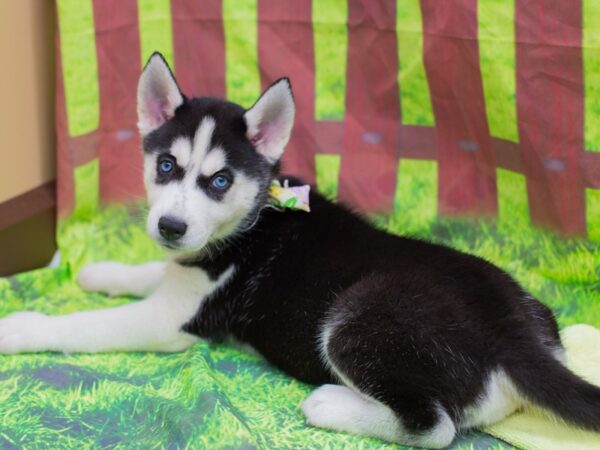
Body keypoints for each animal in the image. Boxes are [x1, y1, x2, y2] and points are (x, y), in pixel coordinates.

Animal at [1, 51, 600, 446]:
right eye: (166, 166)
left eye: (220, 181)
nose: (170, 226)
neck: (250, 218)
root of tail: (513, 335)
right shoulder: (185, 273)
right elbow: (150, 270)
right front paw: (101, 271)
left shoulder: (169, 322)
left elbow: (83, 327)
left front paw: (20, 328)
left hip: (357, 320)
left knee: (435, 426)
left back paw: (332, 404)